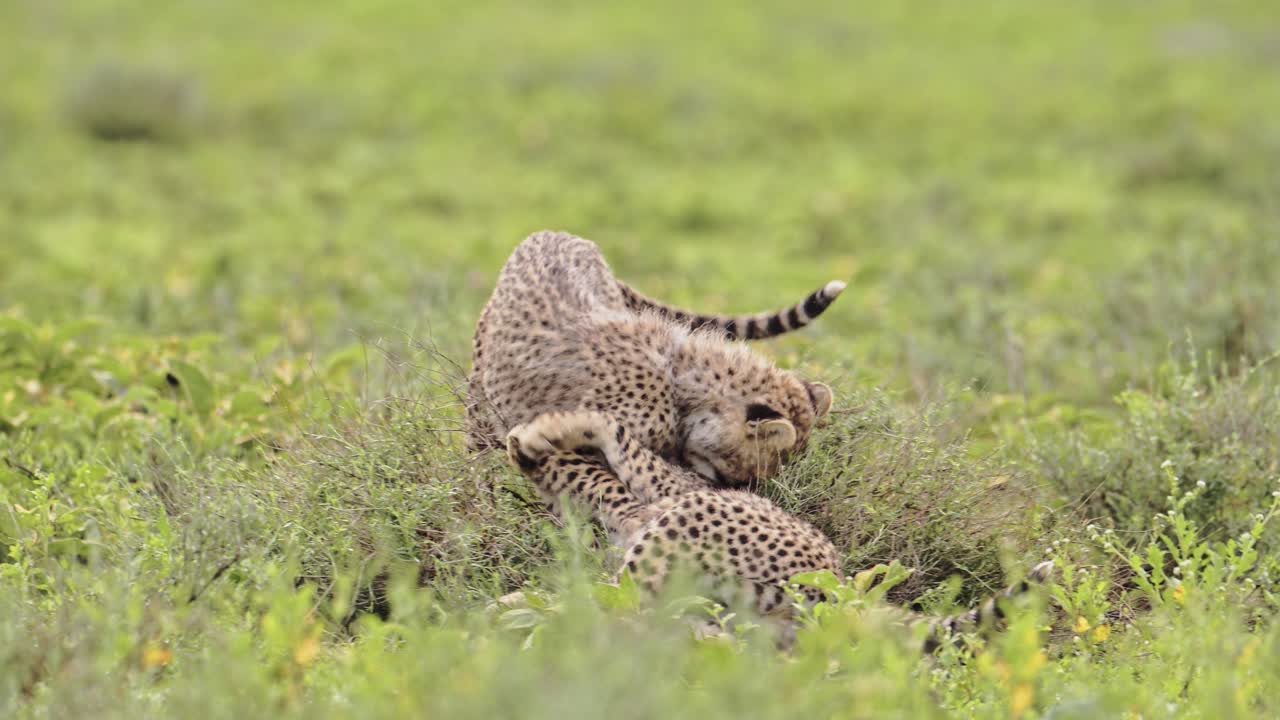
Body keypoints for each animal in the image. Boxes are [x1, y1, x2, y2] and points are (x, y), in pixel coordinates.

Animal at [503, 408, 1054, 652]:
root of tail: (838, 587)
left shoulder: (664, 486)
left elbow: (609, 429)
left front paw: (541, 432)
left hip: (694, 523)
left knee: (624, 614)